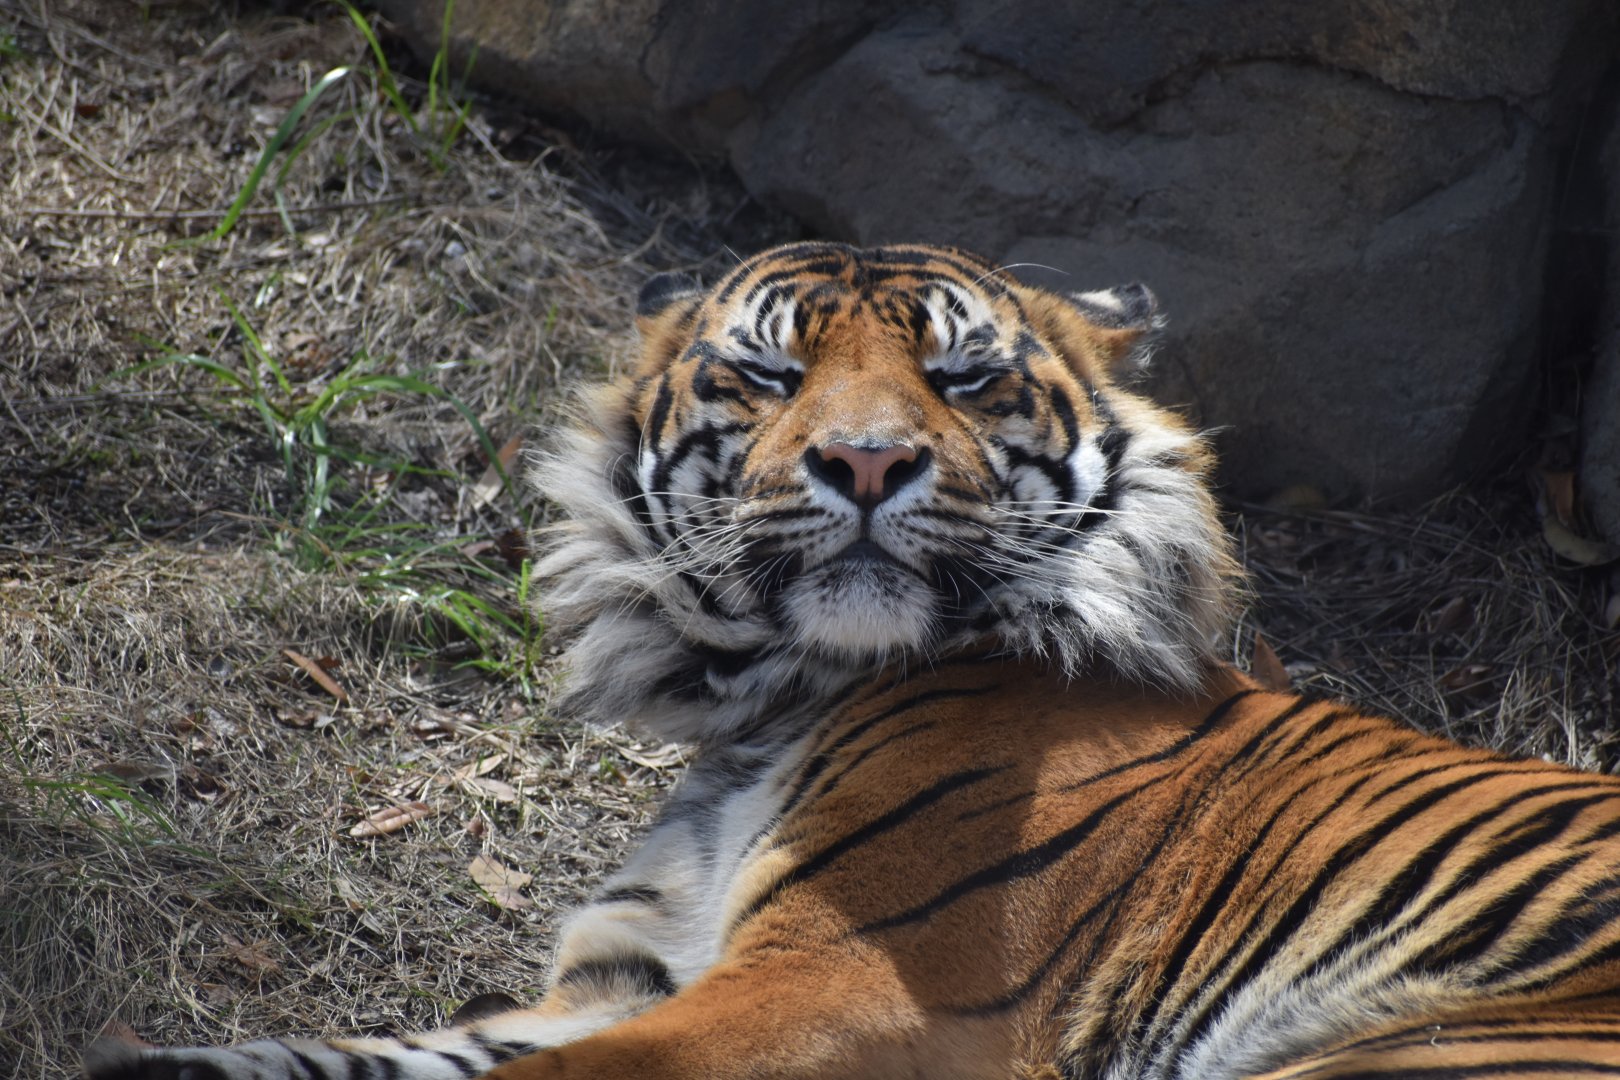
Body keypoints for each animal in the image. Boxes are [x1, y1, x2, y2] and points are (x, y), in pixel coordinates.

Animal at [86, 242, 1620, 1080]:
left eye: (964, 378)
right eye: (767, 376)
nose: (868, 459)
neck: (774, 695)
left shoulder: (838, 991)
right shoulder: (624, 977)